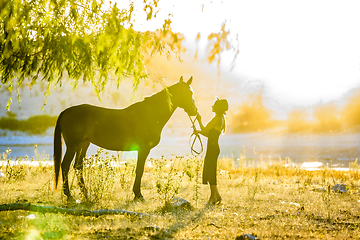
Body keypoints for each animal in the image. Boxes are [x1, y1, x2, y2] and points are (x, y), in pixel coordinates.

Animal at [54, 76, 197, 202]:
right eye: (189, 93)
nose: (195, 111)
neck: (150, 114)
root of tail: (65, 112)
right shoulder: (143, 149)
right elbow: (139, 170)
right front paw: (138, 195)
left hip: (84, 144)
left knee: (78, 167)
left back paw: (87, 195)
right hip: (73, 145)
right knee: (65, 166)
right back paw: (69, 196)